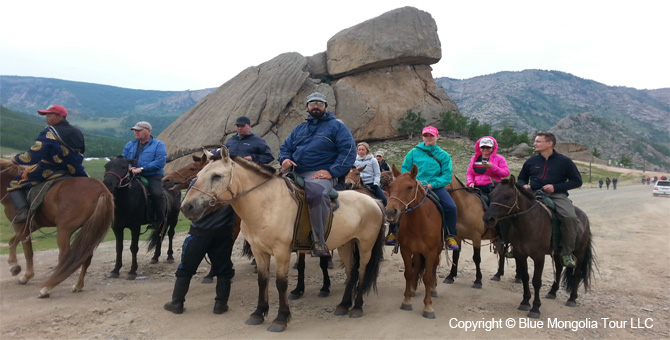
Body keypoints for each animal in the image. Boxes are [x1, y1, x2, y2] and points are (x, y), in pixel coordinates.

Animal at [0, 159, 114, 298]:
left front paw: (26, 276)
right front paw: (14, 265)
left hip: (64, 231)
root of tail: (102, 191)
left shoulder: (21, 225)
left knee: (65, 257)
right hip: (90, 230)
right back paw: (78, 286)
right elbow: (13, 241)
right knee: (86, 257)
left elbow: (28, 251)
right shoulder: (31, 225)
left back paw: (47, 289)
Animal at [181, 147, 386, 332]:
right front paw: (258, 313)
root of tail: (373, 201)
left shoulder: (281, 252)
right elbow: (262, 280)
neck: (267, 205)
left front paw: (281, 318)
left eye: (216, 176)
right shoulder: (259, 251)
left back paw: (357, 306)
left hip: (365, 245)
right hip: (345, 244)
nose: (187, 207)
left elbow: (281, 284)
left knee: (362, 271)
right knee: (351, 272)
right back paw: (343, 305)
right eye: (198, 174)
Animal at [386, 165, 444, 318]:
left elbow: (427, 277)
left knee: (434, 266)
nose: (390, 212)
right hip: (417, 251)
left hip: (438, 249)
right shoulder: (406, 249)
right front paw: (406, 301)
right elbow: (408, 273)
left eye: (410, 187)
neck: (420, 222)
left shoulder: (431, 252)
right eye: (391, 186)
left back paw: (433, 289)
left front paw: (428, 307)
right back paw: (412, 288)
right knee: (417, 264)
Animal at [484, 175, 600, 318]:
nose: (488, 219)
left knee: (577, 274)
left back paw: (572, 299)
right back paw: (552, 292)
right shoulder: (520, 255)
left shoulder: (539, 257)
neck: (529, 223)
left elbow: (536, 281)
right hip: (557, 253)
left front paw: (535, 308)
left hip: (580, 253)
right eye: (491, 195)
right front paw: (525, 302)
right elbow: (525, 277)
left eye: (507, 196)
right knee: (559, 269)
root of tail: (584, 217)